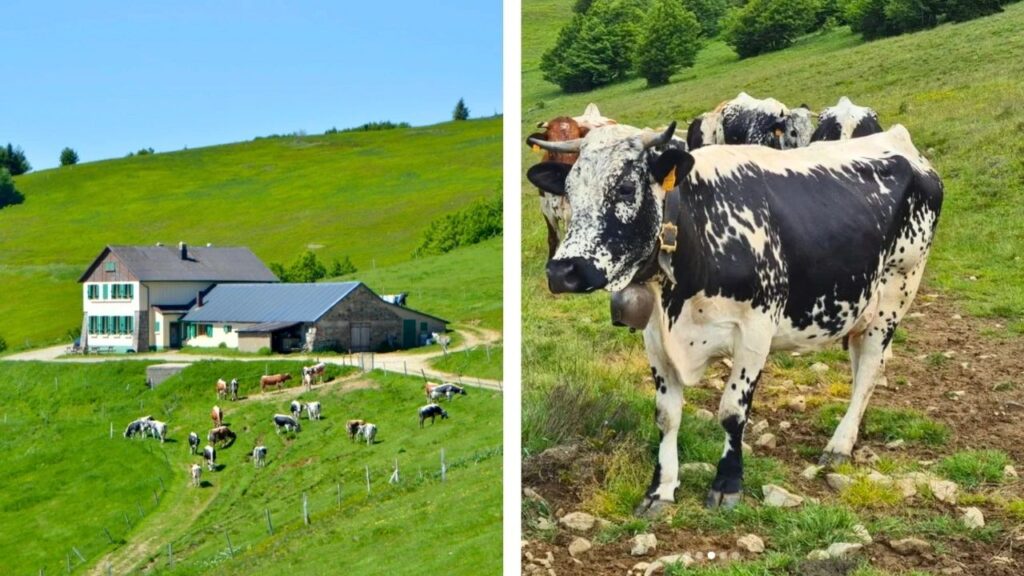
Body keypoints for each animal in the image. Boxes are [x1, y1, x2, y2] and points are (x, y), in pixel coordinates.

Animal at [532, 121, 937, 516]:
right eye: (569, 190)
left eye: (626, 187)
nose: (563, 271)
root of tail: (898, 138)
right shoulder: (655, 338)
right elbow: (666, 414)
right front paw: (661, 488)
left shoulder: (755, 330)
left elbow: (731, 412)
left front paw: (727, 484)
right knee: (861, 367)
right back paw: (853, 430)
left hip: (896, 294)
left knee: (869, 367)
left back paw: (839, 444)